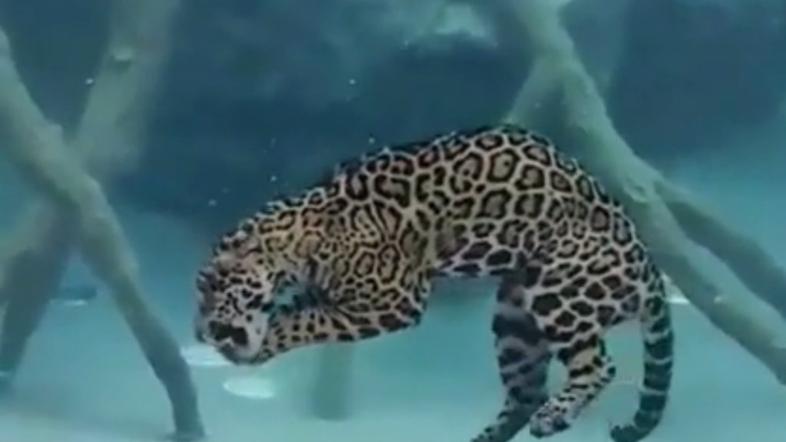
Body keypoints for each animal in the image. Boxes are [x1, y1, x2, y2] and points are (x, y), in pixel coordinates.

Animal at [193, 124, 674, 442]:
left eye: (211, 286)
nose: (199, 334)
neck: (305, 233)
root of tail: (645, 257)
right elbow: (298, 312)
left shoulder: (391, 304)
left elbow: (303, 323)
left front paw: (259, 343)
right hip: (513, 320)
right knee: (526, 392)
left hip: (559, 292)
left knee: (597, 366)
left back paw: (554, 416)